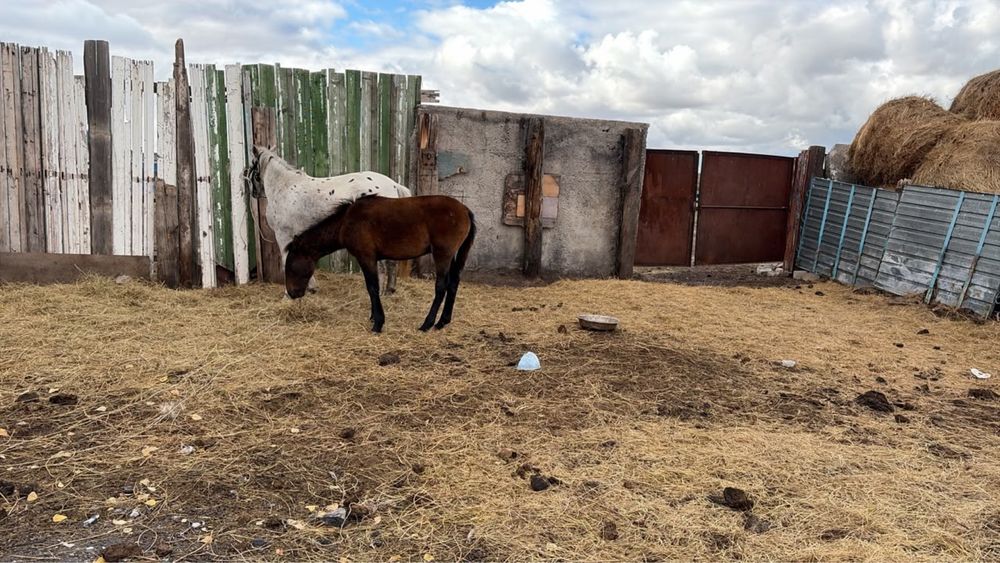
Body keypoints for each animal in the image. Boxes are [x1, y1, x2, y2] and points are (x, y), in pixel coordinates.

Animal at [245, 145, 411, 296]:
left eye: (251, 165)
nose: (253, 193)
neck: (284, 188)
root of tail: (394, 185)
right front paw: (310, 288)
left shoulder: (283, 235)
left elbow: (287, 261)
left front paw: (289, 293)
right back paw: (389, 290)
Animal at [284, 195, 476, 333]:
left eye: (290, 267)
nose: (292, 293)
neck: (346, 221)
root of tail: (465, 209)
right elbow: (373, 288)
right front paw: (373, 317)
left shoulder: (366, 257)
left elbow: (372, 288)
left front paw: (378, 323)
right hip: (452, 256)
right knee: (453, 284)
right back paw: (443, 321)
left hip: (442, 255)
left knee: (441, 287)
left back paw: (427, 324)